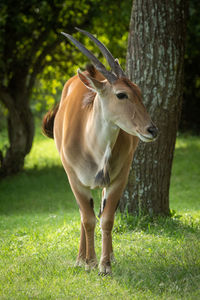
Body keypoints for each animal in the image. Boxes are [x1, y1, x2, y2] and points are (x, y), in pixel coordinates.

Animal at [42, 28, 158, 274]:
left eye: (139, 91)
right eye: (121, 94)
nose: (151, 130)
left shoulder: (118, 179)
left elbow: (107, 219)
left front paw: (105, 265)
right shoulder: (75, 180)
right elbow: (87, 219)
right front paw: (90, 262)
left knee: (101, 213)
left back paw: (108, 256)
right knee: (83, 214)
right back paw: (81, 258)